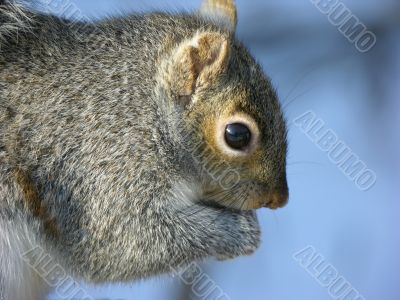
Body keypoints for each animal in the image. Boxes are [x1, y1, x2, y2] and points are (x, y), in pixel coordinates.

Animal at [0, 0, 288, 298]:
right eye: (237, 135)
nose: (279, 199)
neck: (146, 110)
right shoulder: (99, 167)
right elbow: (122, 244)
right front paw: (240, 232)